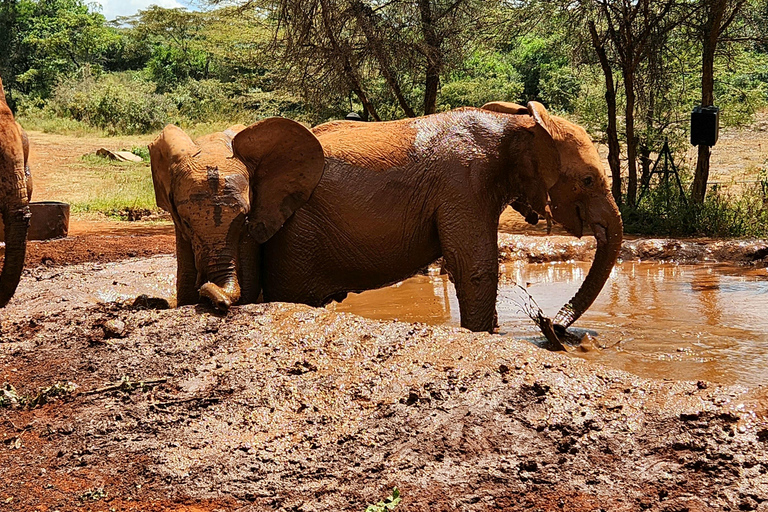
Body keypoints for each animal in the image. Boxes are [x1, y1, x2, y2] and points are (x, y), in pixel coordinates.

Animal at [260, 102, 620, 334]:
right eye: (588, 180)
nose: (550, 324)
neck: (515, 125)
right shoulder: (465, 182)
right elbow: (475, 269)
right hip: (297, 236)